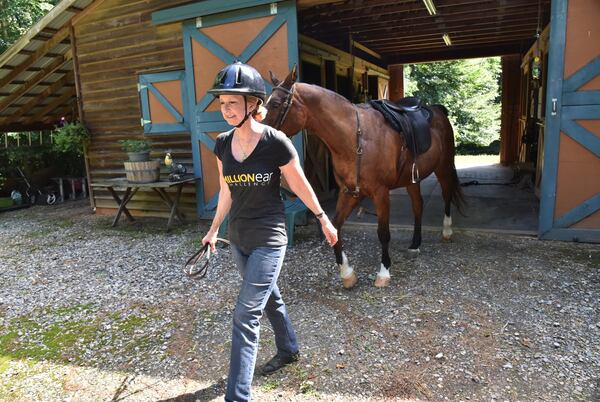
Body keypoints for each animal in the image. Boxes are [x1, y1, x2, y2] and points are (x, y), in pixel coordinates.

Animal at [264, 67, 466, 290]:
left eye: (275, 104)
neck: (354, 138)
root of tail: (439, 111)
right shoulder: (349, 192)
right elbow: (335, 228)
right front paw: (347, 273)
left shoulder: (380, 193)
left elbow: (383, 233)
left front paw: (384, 272)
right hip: (412, 179)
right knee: (418, 206)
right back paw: (415, 245)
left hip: (443, 167)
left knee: (447, 194)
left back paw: (446, 231)